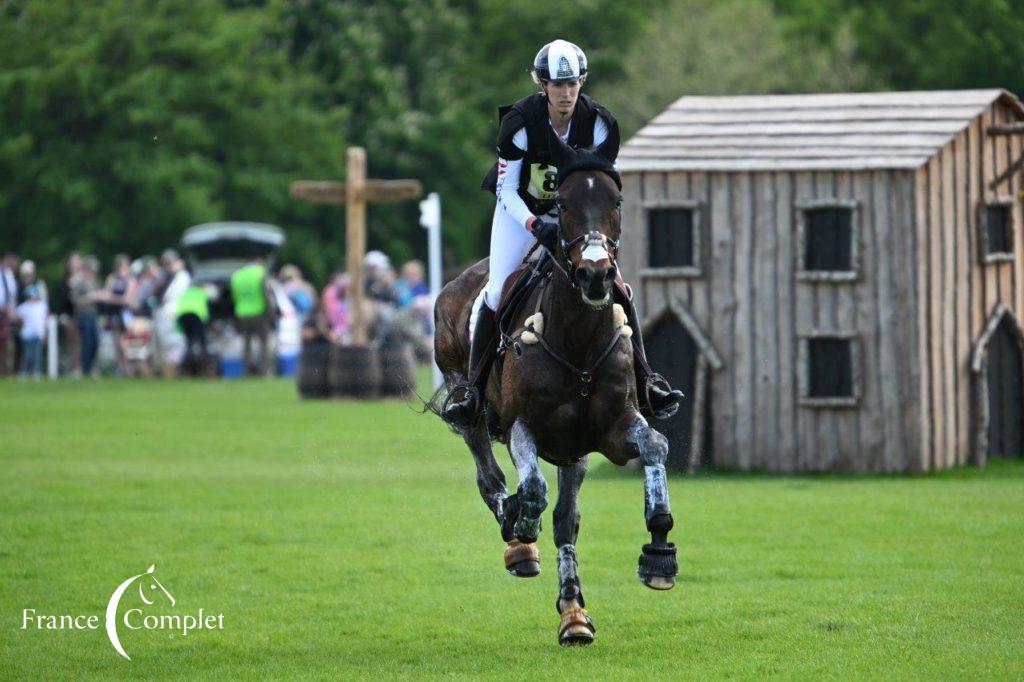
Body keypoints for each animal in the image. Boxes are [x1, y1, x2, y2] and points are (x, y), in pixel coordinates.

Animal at [432, 138, 679, 643]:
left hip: (574, 452)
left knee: (567, 522)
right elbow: (531, 489)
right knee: (490, 480)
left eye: (617, 201)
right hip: (469, 409)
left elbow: (654, 446)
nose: (595, 275)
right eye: (563, 204)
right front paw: (522, 525)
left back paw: (574, 614)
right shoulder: (522, 429)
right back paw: (519, 546)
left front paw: (659, 550)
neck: (578, 341)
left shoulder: (613, 430)